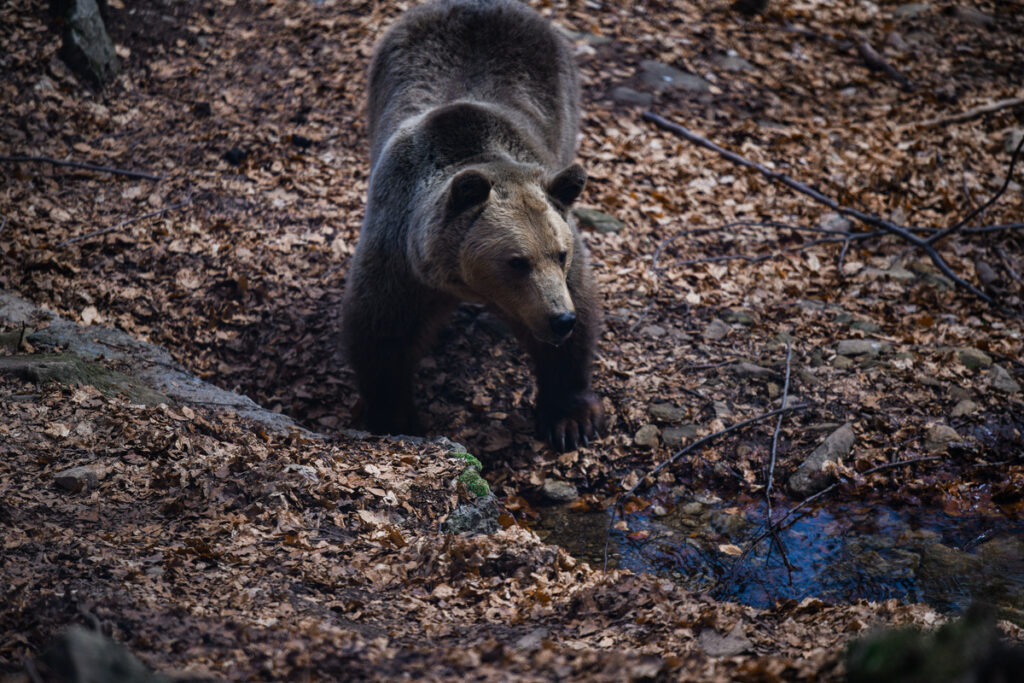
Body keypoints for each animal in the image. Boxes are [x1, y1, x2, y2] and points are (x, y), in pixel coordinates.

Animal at [339, 0, 602, 450]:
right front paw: (393, 416)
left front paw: (569, 419)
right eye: (517, 261)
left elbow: (578, 318)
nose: (559, 319)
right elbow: (381, 332)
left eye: (560, 254)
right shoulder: (399, 255)